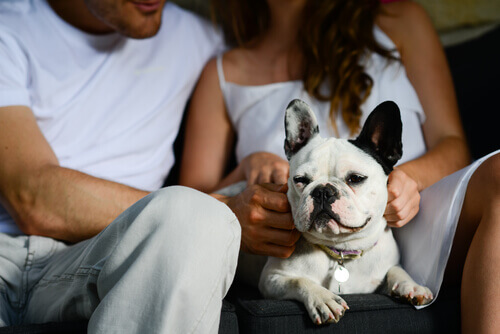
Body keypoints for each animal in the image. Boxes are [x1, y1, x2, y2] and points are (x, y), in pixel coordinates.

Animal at [258, 99, 434, 324]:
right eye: (300, 180)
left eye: (356, 178)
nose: (322, 191)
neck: (342, 248)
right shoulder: (271, 279)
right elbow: (299, 281)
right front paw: (323, 298)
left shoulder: (387, 265)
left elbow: (397, 270)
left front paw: (411, 285)